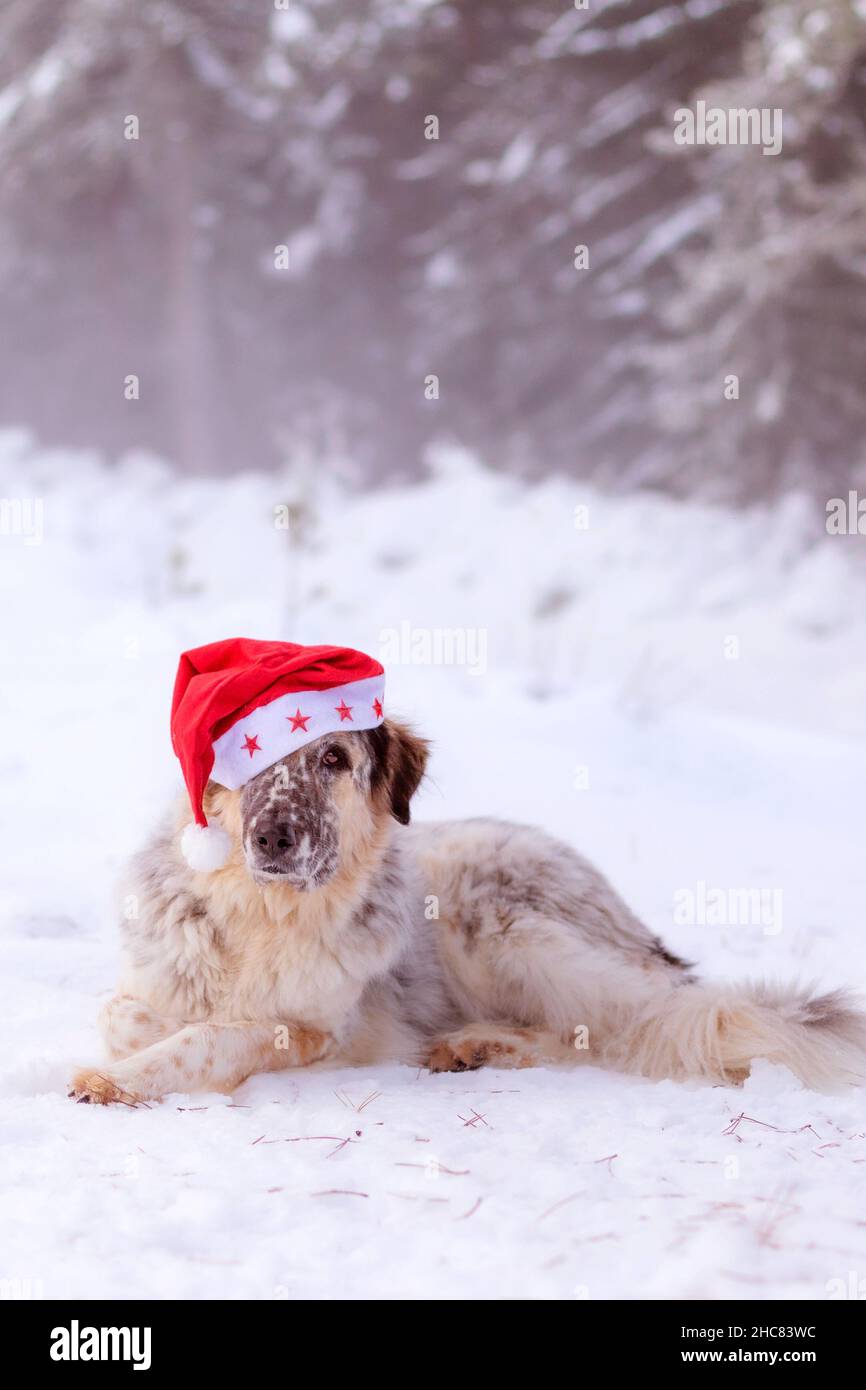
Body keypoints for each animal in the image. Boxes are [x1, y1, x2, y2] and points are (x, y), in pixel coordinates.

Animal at [69, 717, 866, 1106]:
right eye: (249, 761)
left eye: (333, 760)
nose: (273, 836)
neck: (263, 914)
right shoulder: (149, 980)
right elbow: (124, 1013)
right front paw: (138, 1047)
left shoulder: (320, 1026)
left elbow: (218, 1036)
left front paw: (120, 1080)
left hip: (498, 928)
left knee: (619, 1029)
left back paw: (478, 1045)